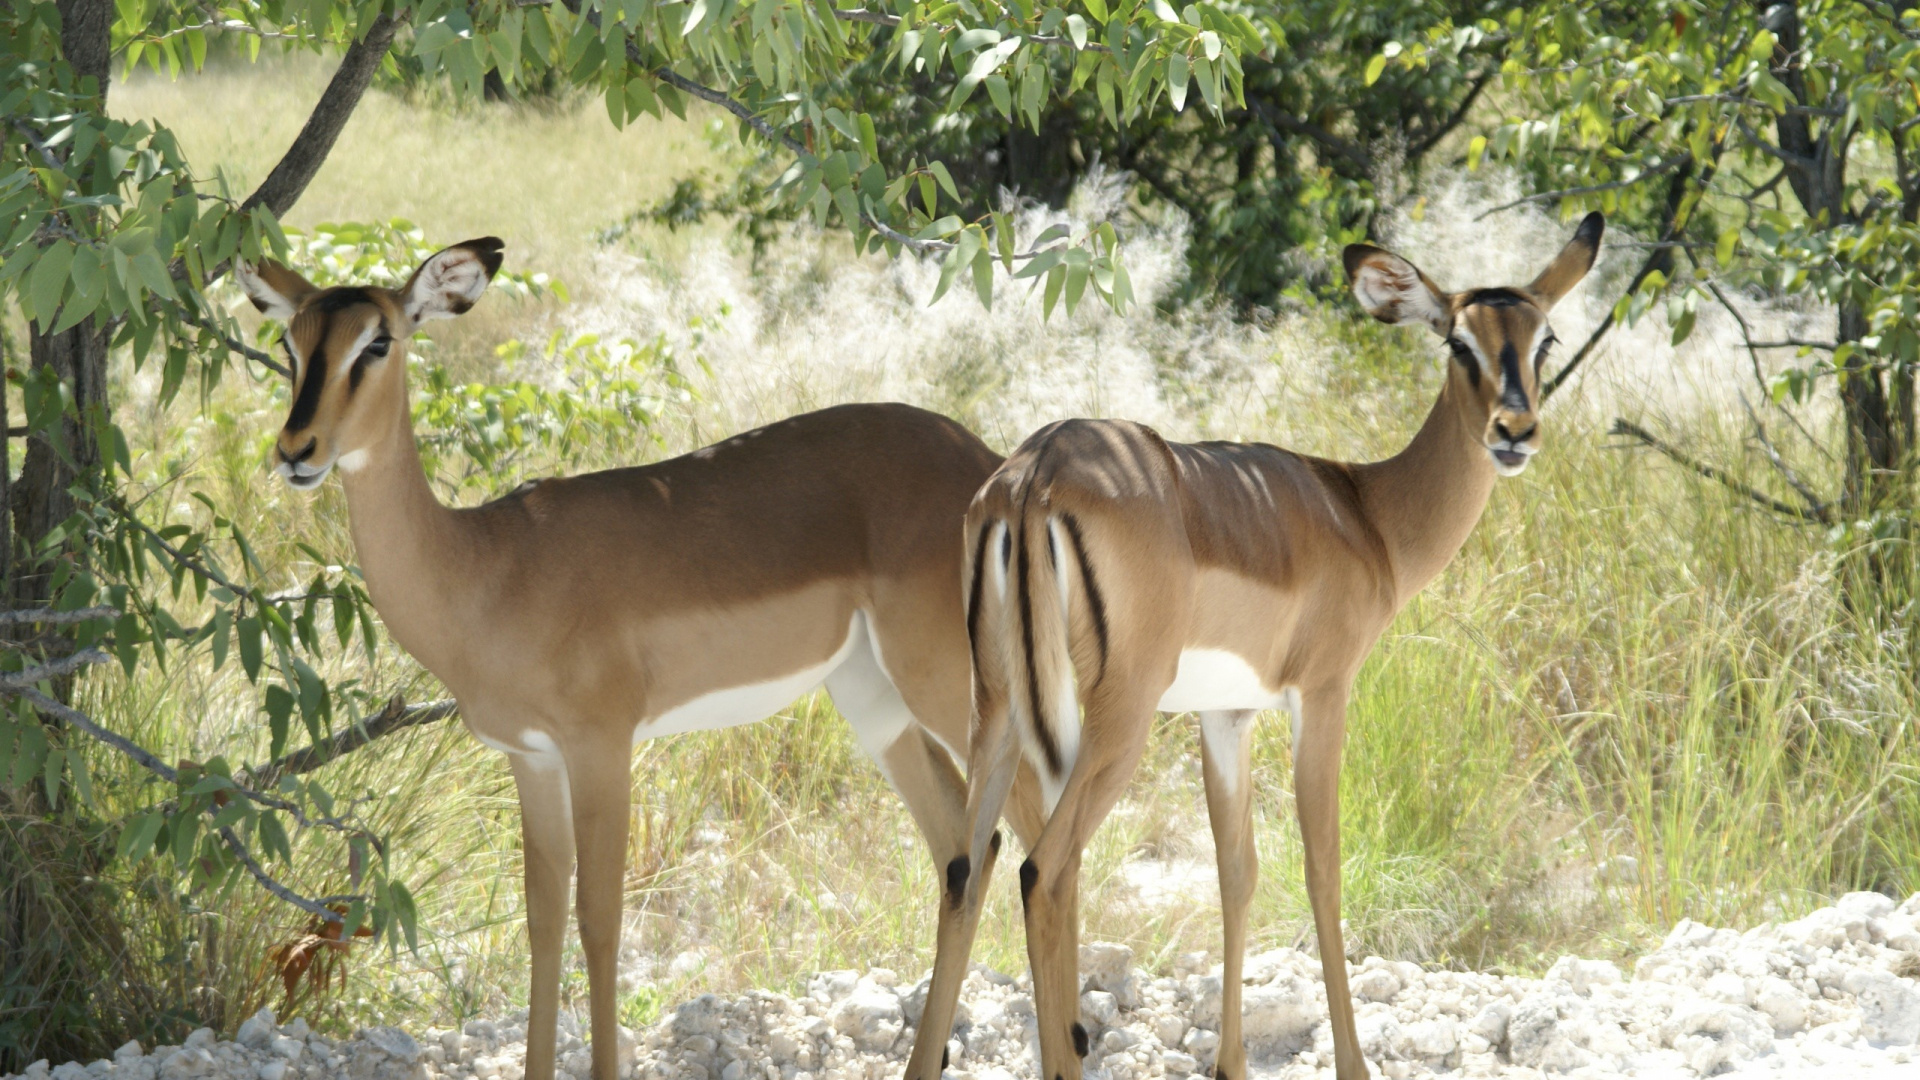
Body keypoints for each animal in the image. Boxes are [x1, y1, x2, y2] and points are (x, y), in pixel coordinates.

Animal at [237, 238, 1038, 1080]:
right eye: (290, 342)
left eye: (378, 341)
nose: (296, 451)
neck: (489, 569)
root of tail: (989, 467)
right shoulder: (531, 758)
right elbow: (544, 920)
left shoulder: (601, 747)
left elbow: (600, 919)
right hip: (876, 703)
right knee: (965, 849)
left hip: (958, 688)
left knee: (1035, 842)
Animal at [904, 213, 1604, 1080]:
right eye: (1458, 342)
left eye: (1543, 340)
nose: (1514, 431)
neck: (1366, 514)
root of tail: (1031, 478)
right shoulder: (1324, 694)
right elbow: (1322, 868)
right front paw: (1352, 1064)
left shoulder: (1226, 715)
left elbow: (1237, 874)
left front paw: (1230, 1064)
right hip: (1115, 723)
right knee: (1047, 870)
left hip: (995, 711)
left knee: (968, 868)